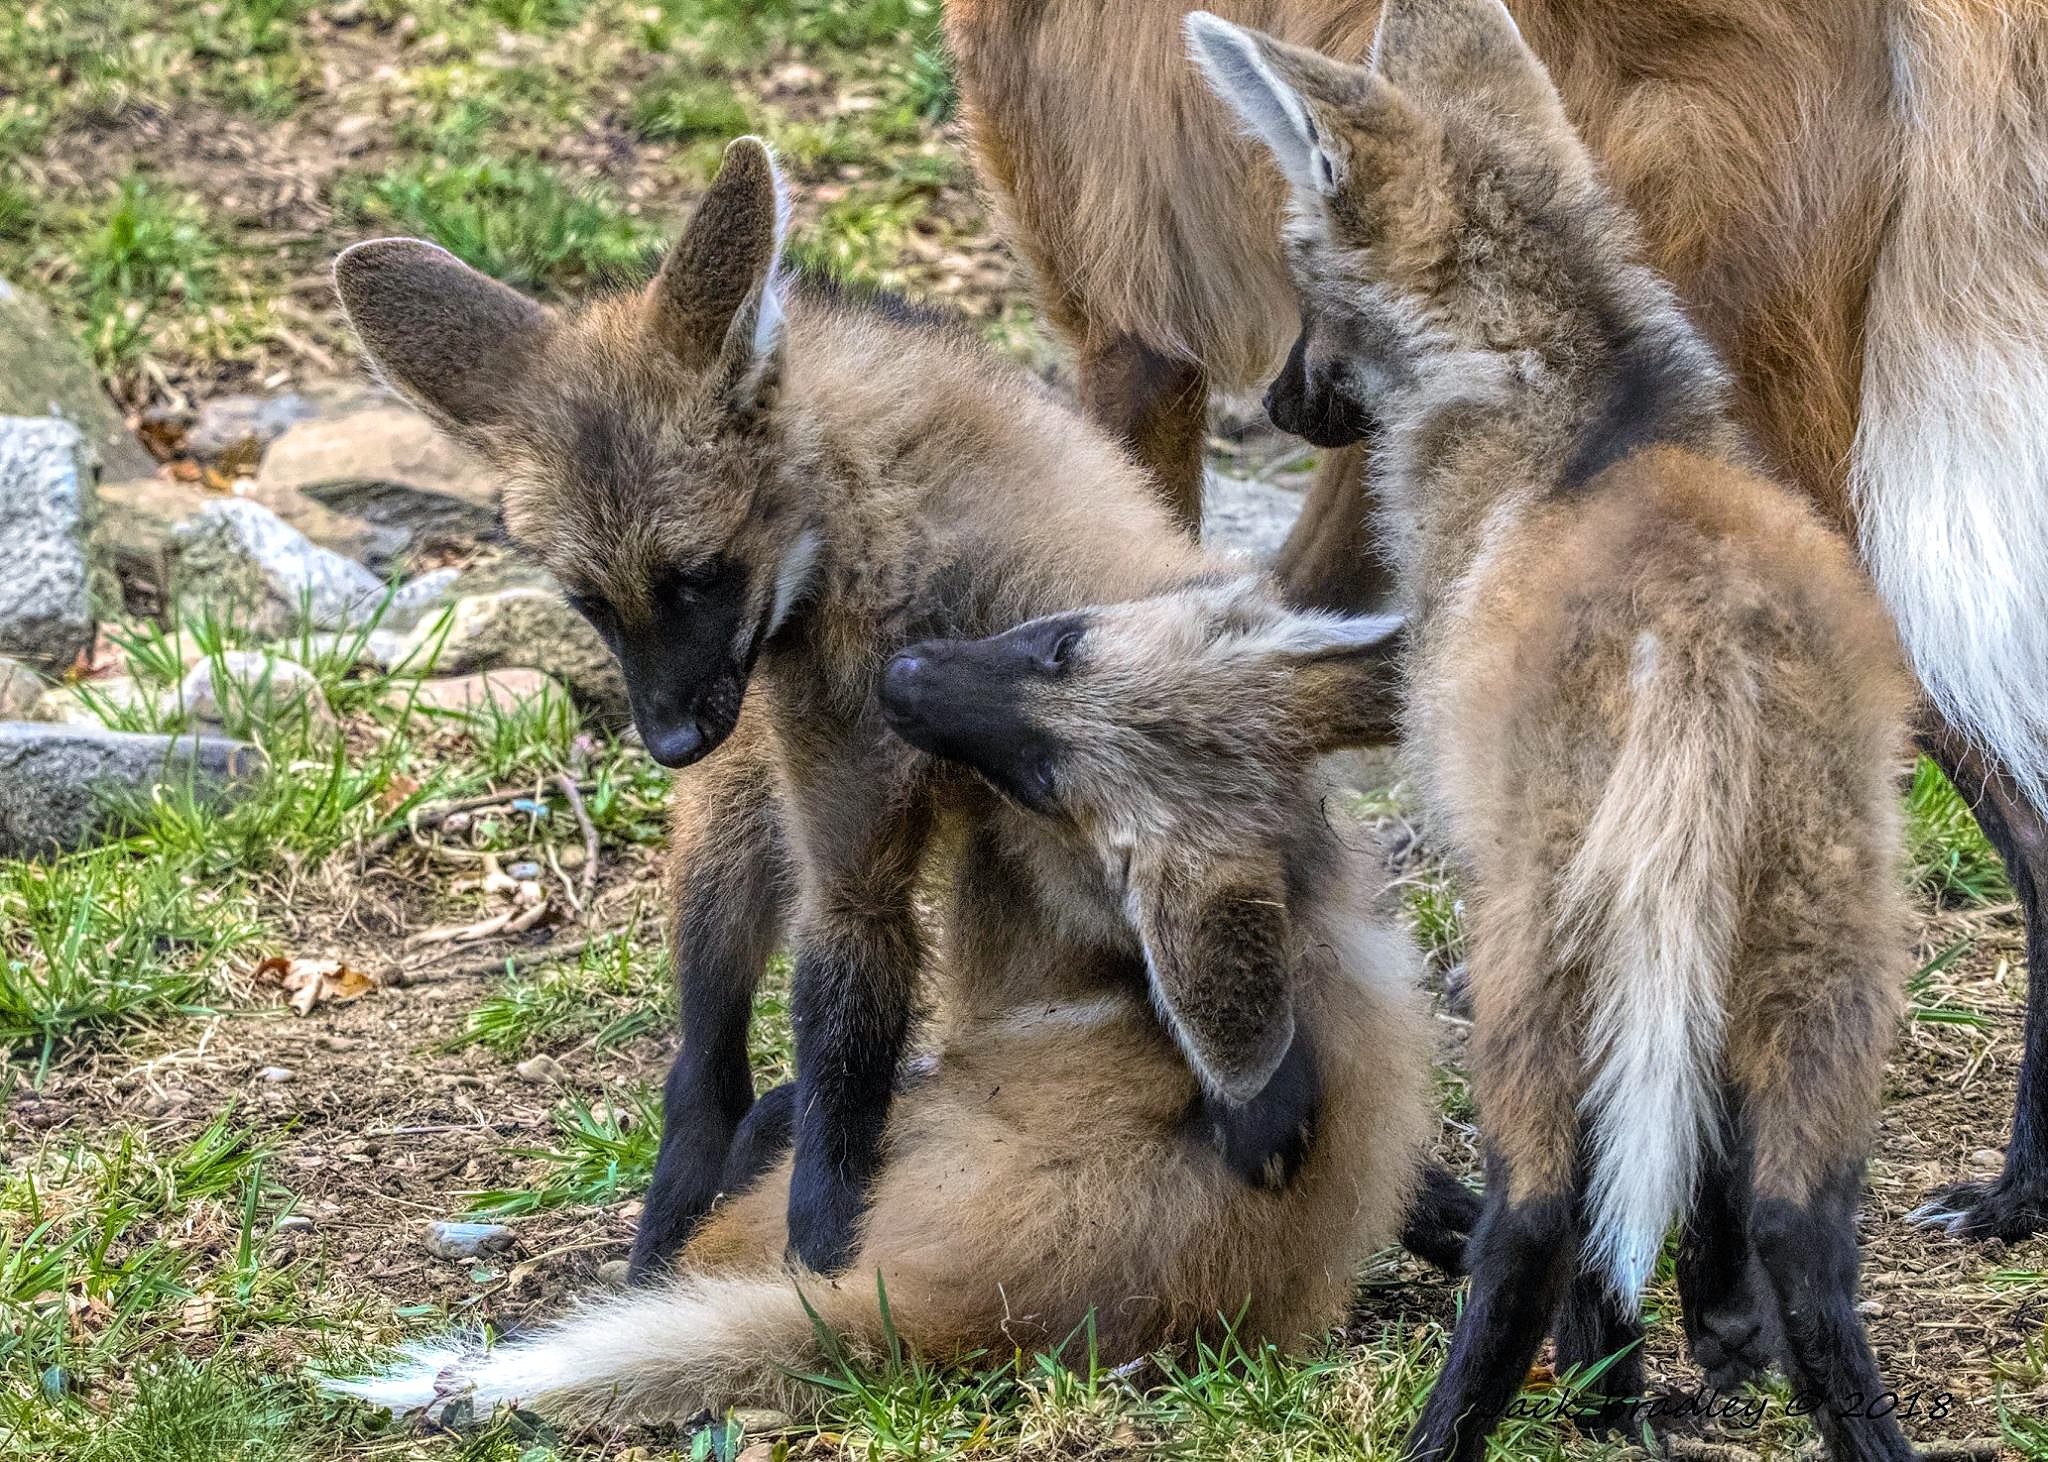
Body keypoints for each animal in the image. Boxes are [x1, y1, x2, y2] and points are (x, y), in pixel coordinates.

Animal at [1190, 2, 1920, 1457]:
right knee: (1806, 1228)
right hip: (1824, 919)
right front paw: (1704, 1332)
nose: (1281, 403)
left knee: (1531, 1210)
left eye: (1304, 279)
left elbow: (1595, 1192)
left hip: (1538, 929)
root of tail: (1696, 638)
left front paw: (1610, 1376)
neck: (1577, 386)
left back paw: (1466, 1422)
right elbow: (1702, 1145)